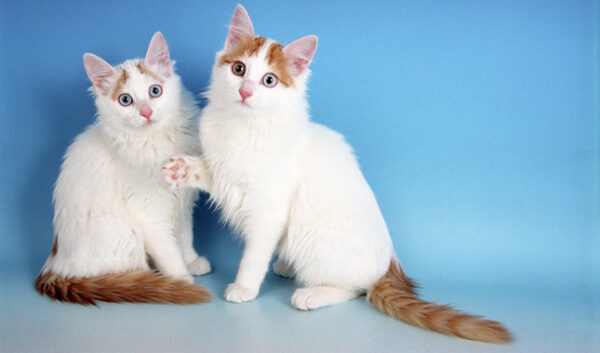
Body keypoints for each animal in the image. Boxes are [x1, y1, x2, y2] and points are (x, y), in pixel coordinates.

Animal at [35, 31, 211, 304]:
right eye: (125, 100)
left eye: (155, 91)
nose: (146, 112)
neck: (157, 140)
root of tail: (54, 268)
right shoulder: (149, 213)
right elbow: (169, 250)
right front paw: (181, 279)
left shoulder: (181, 202)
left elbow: (184, 236)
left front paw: (192, 260)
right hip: (126, 237)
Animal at [163, 4, 510, 340]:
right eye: (239, 70)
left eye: (269, 81)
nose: (245, 92)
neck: (242, 126)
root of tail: (389, 264)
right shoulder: (226, 175)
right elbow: (209, 173)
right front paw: (181, 168)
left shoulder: (268, 210)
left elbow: (253, 257)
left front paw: (244, 288)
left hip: (317, 244)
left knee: (356, 289)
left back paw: (311, 294)